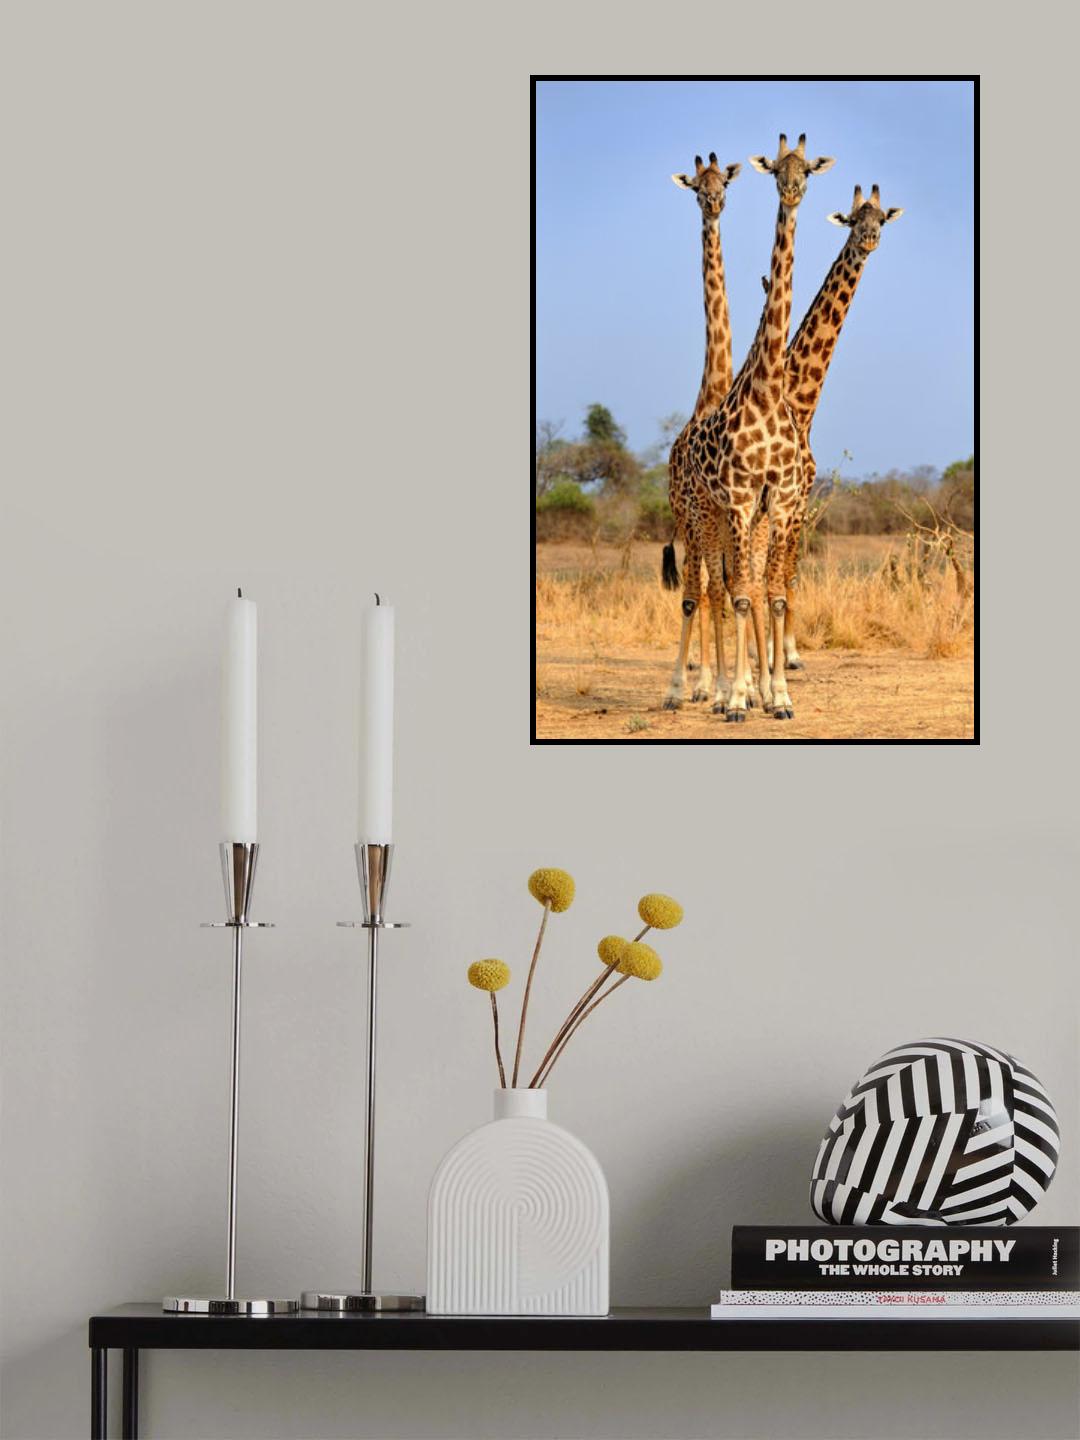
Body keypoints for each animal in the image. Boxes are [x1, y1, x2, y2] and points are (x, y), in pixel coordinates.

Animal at [687, 133, 834, 721]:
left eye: (807, 170)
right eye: (775, 169)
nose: (791, 191)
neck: (771, 389)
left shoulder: (783, 497)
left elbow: (772, 593)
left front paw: (781, 695)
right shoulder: (742, 496)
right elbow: (745, 593)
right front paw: (738, 698)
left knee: (737, 585)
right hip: (707, 514)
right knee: (717, 588)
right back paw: (716, 689)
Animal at [779, 184, 904, 668]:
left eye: (881, 219)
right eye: (853, 221)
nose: (869, 238)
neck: (802, 402)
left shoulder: (798, 498)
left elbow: (788, 571)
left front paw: (788, 654)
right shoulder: (787, 498)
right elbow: (778, 571)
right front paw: (783, 657)